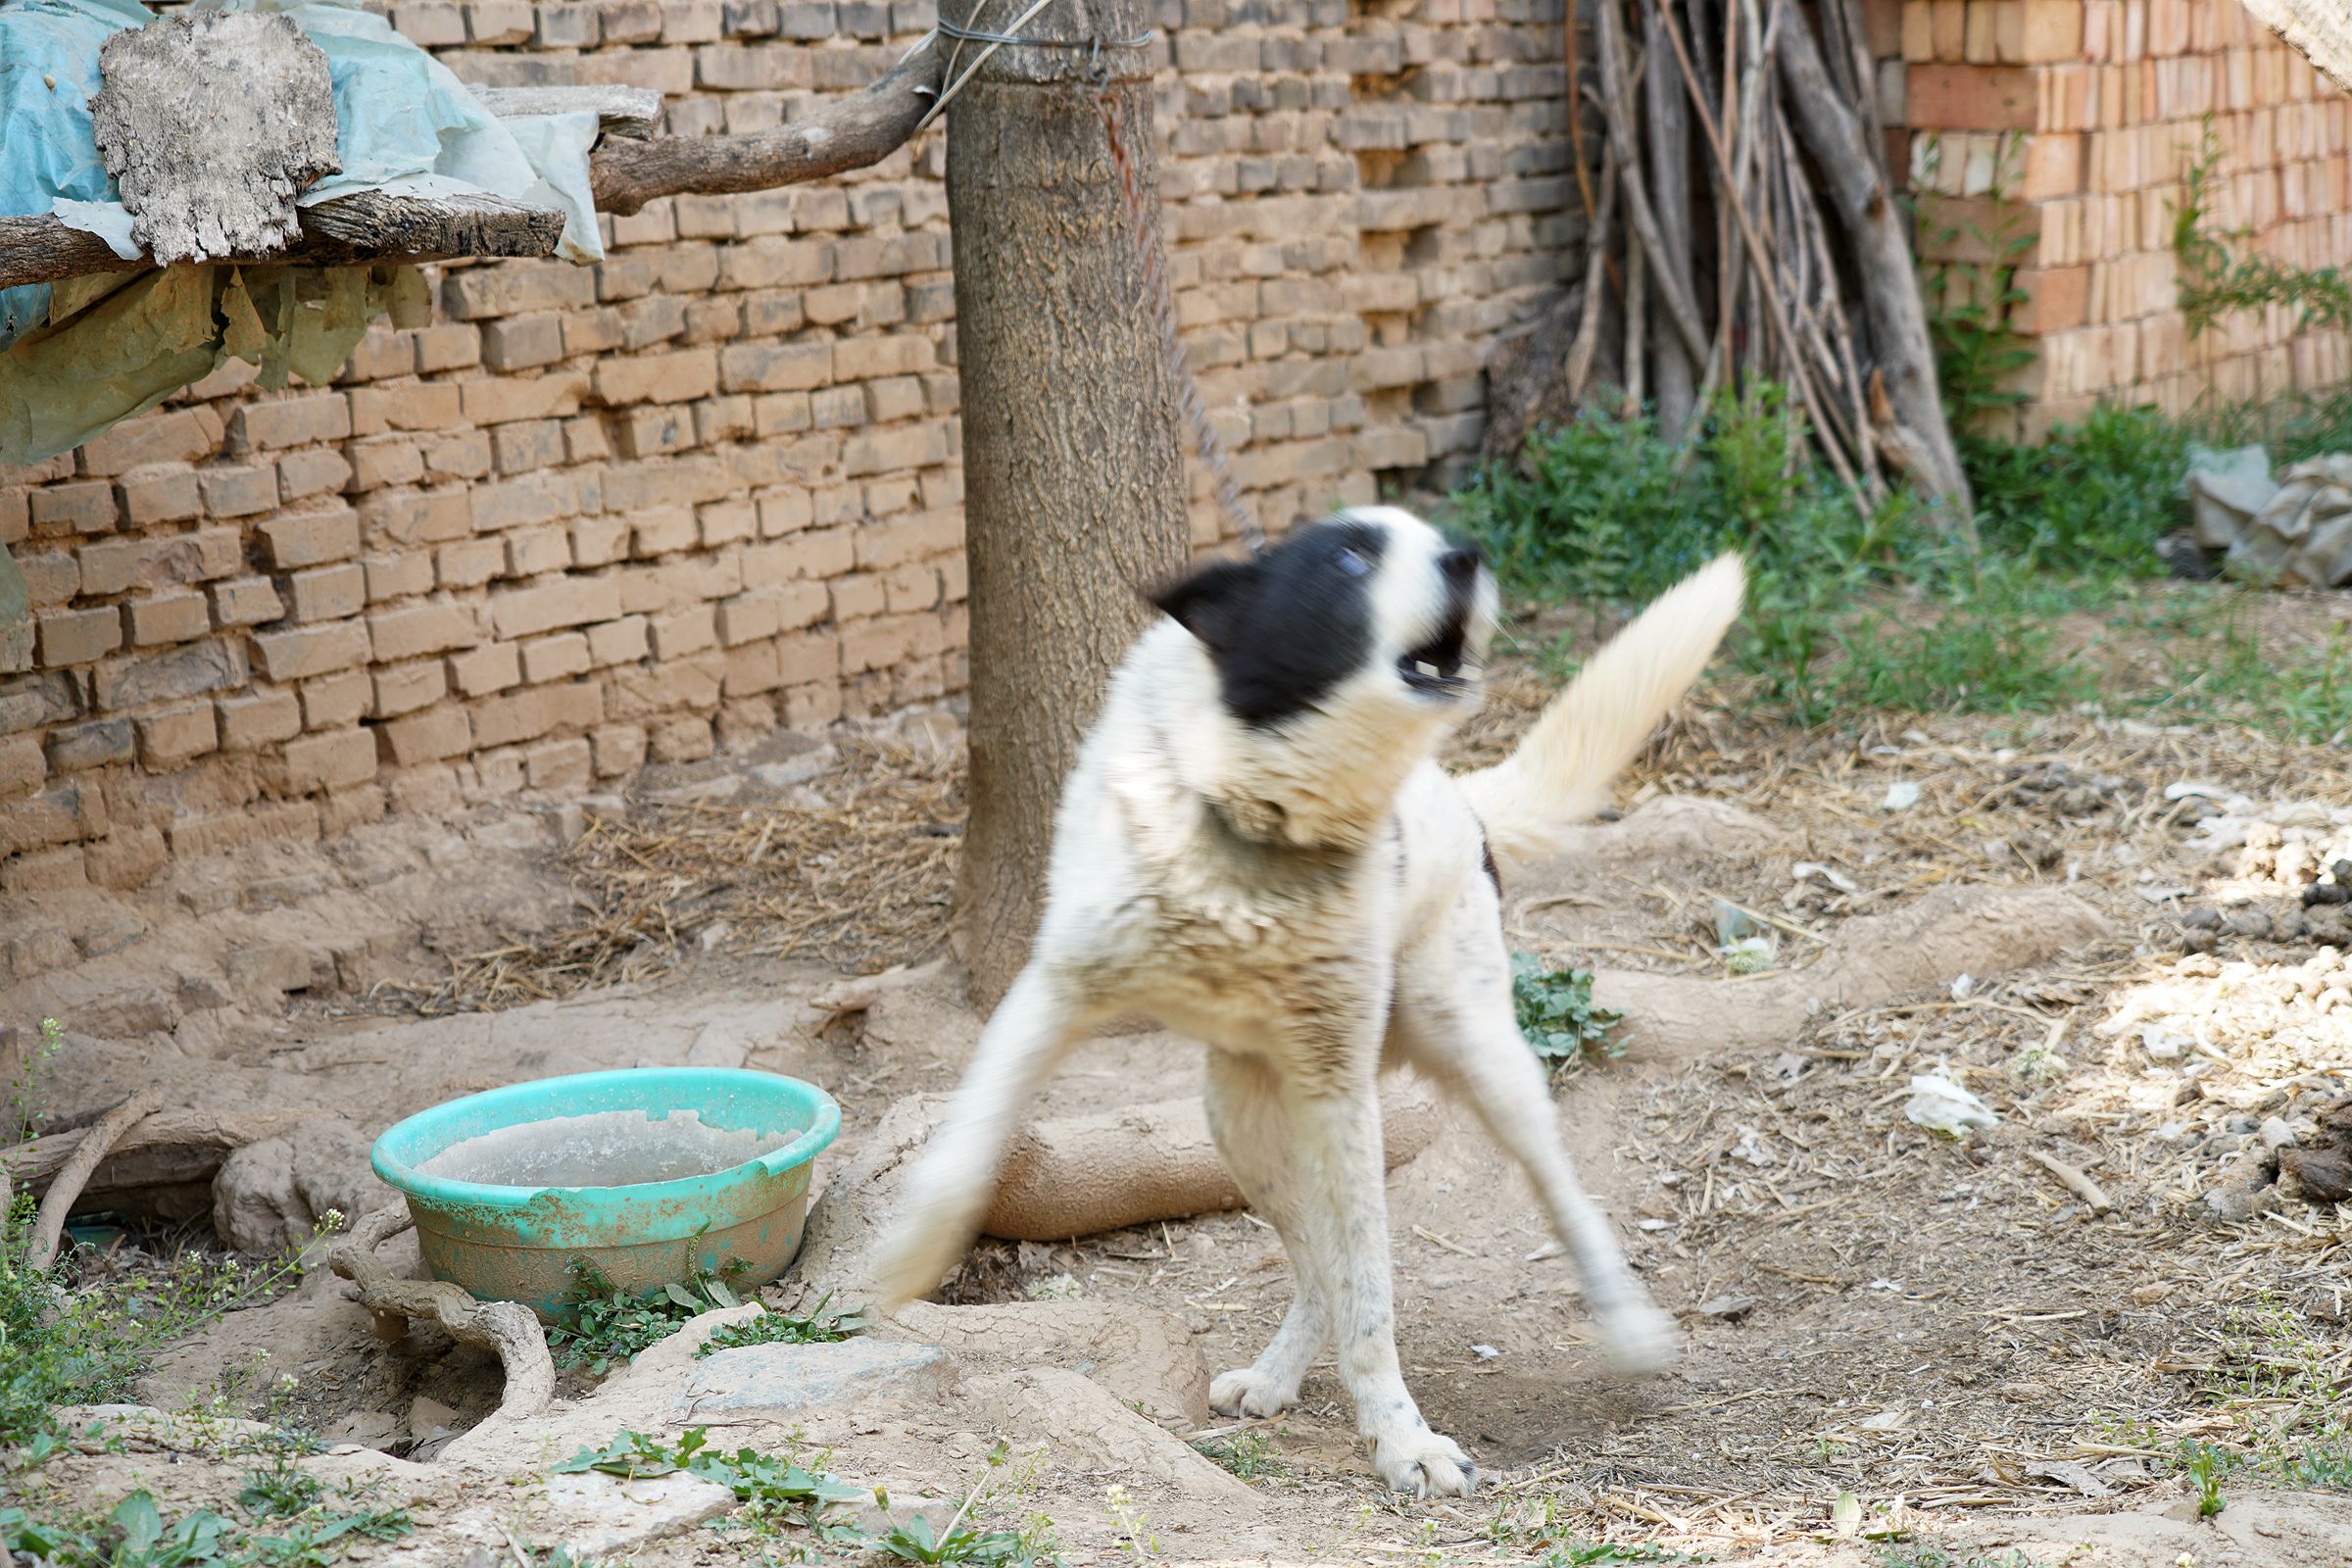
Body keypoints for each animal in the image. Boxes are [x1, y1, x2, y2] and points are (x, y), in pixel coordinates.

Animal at [870, 512, 1749, 1494]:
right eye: (1351, 557)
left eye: (1432, 538)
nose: (1467, 556)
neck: (1258, 820)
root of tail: (1465, 804)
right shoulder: (1051, 992)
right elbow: (965, 1148)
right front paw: (908, 1261)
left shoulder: (1339, 1091)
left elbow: (1371, 1291)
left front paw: (1403, 1441)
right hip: (1238, 1121)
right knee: (1314, 1266)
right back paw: (1275, 1375)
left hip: (1476, 1055)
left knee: (1548, 1194)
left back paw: (1627, 1325)